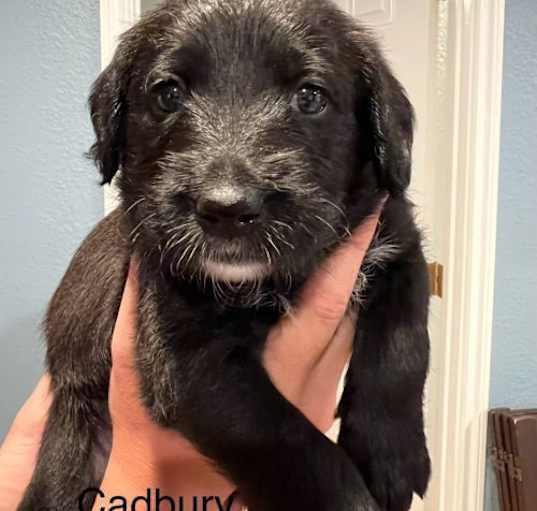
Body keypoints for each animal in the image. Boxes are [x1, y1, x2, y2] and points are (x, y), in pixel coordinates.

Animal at [21, 1, 430, 511]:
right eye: (168, 94)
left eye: (310, 97)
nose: (227, 209)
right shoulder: (189, 362)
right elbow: (292, 444)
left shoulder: (397, 241)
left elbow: (403, 346)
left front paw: (392, 454)